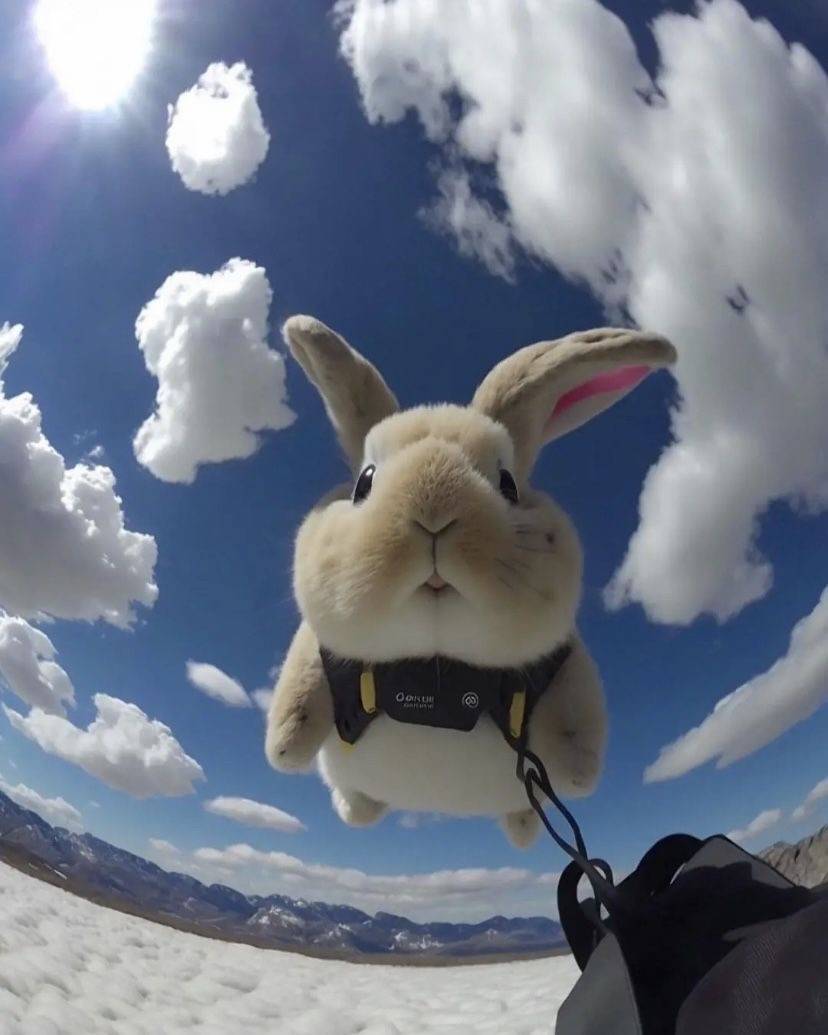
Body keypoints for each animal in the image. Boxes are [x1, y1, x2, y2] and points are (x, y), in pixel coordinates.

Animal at [264, 316, 670, 848]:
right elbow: (297, 697)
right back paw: (358, 808)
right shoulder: (316, 652)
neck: (436, 676)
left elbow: (577, 726)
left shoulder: (566, 662)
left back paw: (522, 826)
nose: (433, 510)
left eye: (508, 485)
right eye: (364, 483)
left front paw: (581, 773)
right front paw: (283, 748)